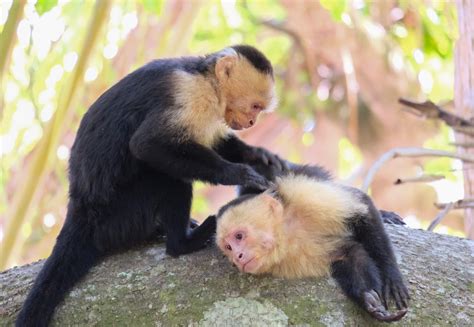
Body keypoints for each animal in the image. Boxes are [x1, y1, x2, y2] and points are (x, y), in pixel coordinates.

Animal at [16, 44, 286, 326]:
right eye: (255, 106)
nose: (253, 122)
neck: (206, 79)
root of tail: (81, 209)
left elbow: (213, 140)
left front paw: (258, 154)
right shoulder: (190, 93)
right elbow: (147, 145)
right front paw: (238, 173)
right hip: (118, 215)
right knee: (167, 177)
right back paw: (183, 242)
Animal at [217, 162, 410, 322]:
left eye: (239, 236)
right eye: (228, 248)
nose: (237, 258)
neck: (287, 231)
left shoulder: (303, 195)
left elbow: (362, 208)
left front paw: (391, 275)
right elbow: (349, 256)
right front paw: (368, 301)